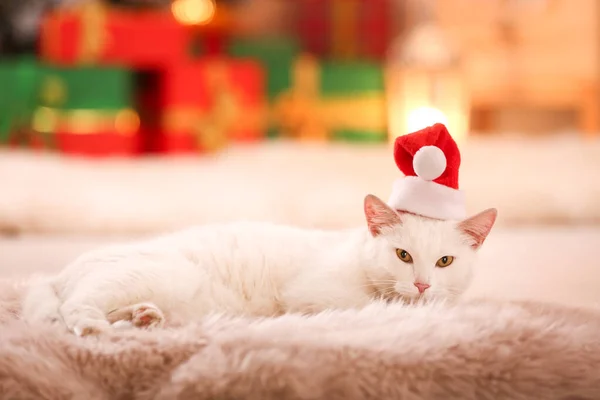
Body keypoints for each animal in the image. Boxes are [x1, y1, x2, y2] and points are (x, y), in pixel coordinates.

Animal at [21, 193, 494, 334]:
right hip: (159, 274)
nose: (423, 285)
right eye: (403, 256)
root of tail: (59, 274)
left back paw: (143, 318)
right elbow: (374, 307)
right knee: (74, 307)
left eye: (445, 261)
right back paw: (92, 327)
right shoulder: (313, 296)